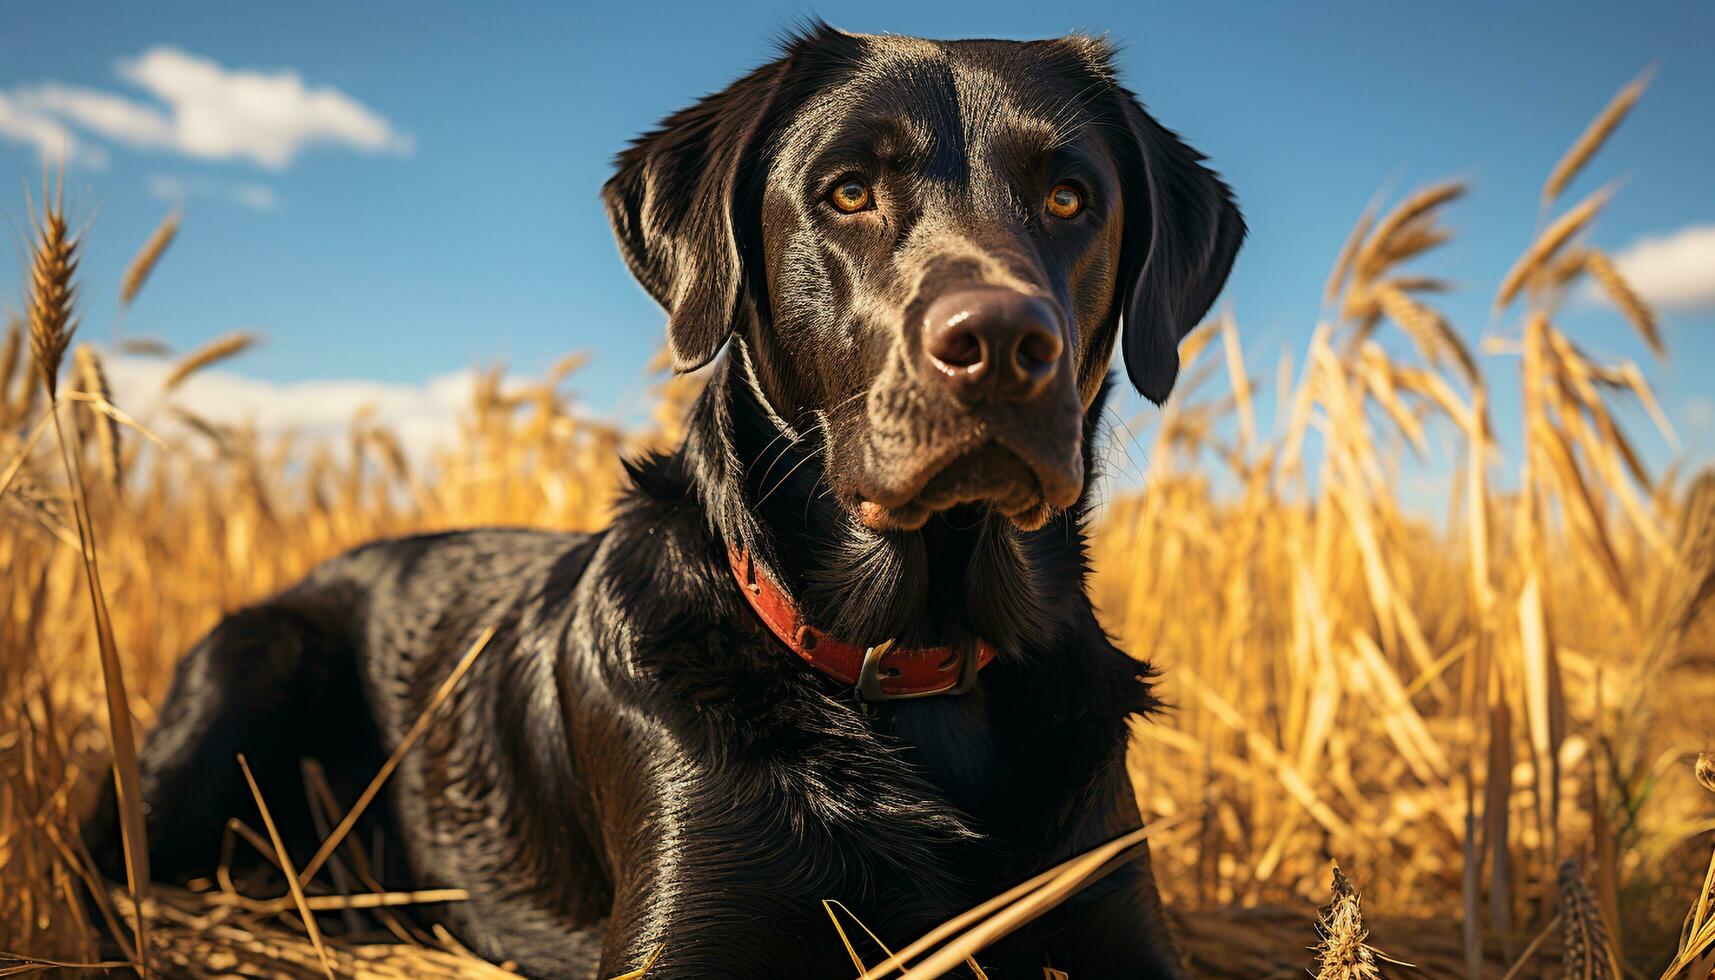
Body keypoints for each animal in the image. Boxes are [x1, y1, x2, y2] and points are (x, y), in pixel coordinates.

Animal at [93, 24, 1241, 980]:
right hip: (246, 662)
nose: (1001, 340)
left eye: (1068, 199)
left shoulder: (1111, 901)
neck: (920, 661)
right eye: (847, 192)